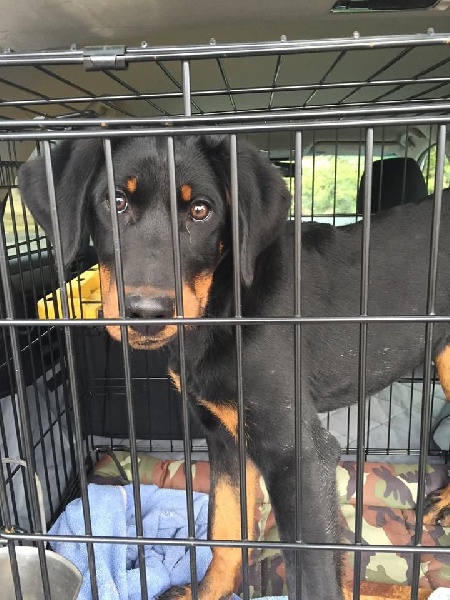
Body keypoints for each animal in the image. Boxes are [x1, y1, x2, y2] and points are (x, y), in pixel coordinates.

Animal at [19, 136, 450, 600]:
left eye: (200, 210)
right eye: (115, 201)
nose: (147, 314)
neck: (221, 308)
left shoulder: (297, 454)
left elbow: (312, 573)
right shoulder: (223, 435)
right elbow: (225, 531)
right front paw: (208, 591)